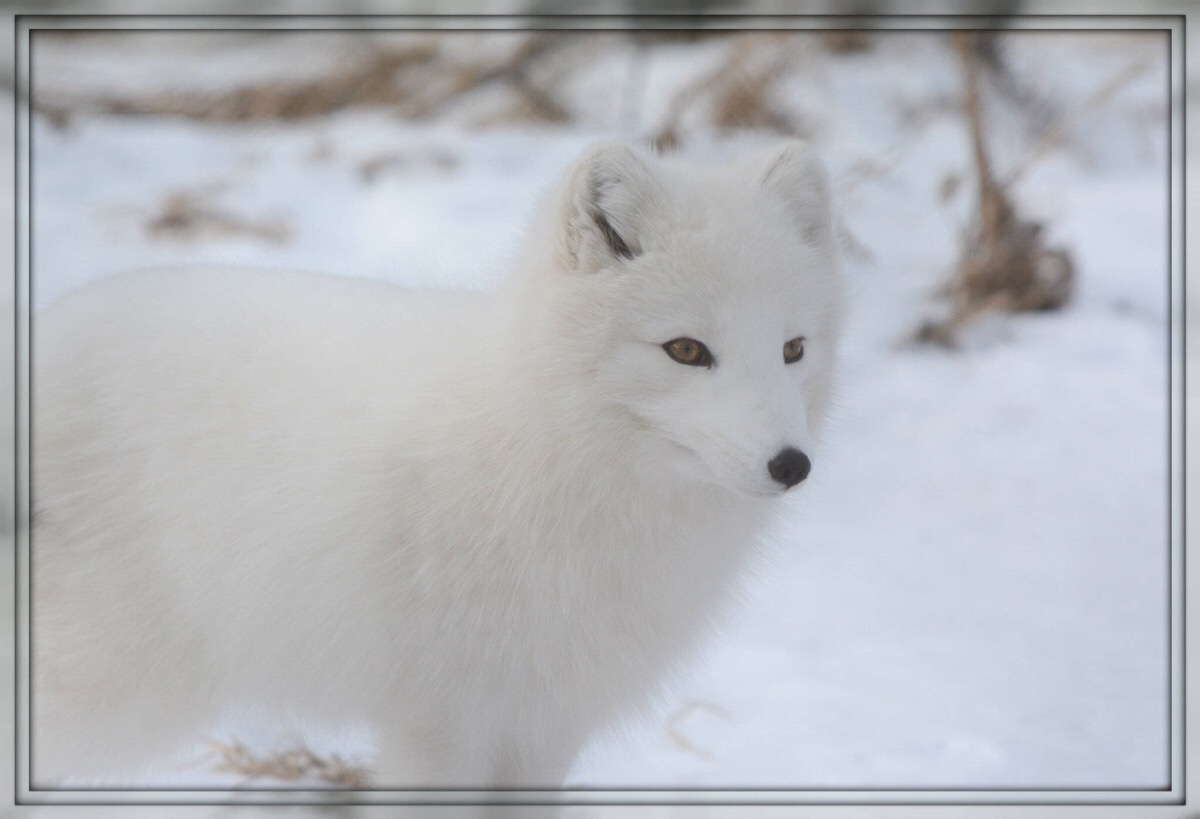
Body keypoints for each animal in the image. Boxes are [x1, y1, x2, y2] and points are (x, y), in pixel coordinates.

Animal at [30, 140, 844, 782]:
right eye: (686, 350)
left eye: (792, 349)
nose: (791, 465)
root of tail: (45, 333)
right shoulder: (442, 725)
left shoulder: (545, 726)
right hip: (113, 696)